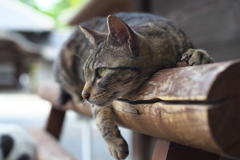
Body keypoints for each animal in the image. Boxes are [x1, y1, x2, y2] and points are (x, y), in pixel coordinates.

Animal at [53, 12, 213, 159]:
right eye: (84, 73)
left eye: (101, 72)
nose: (84, 95)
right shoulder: (96, 104)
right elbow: (99, 115)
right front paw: (114, 143)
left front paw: (198, 54)